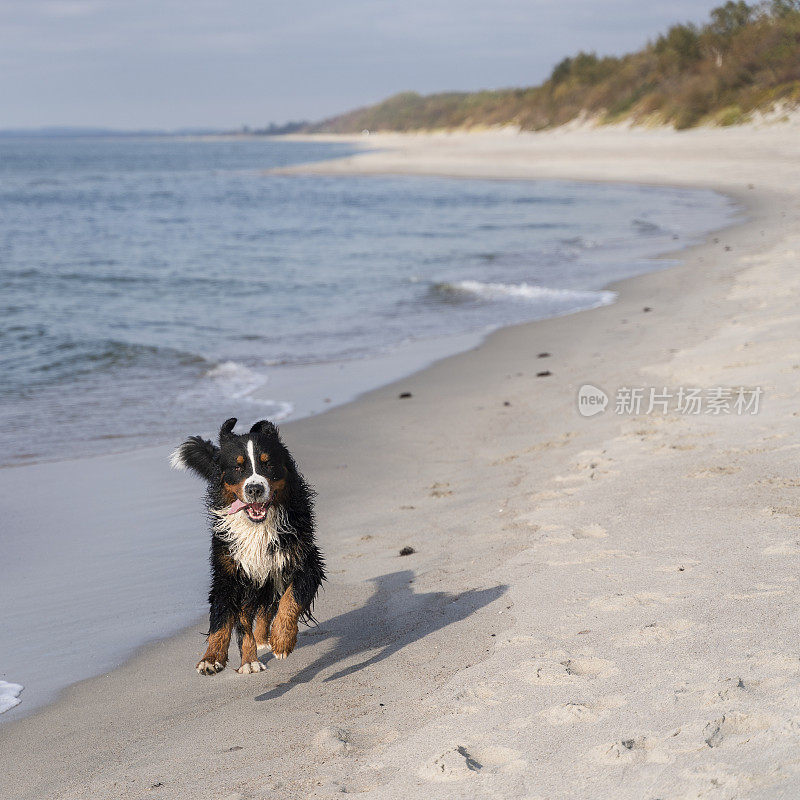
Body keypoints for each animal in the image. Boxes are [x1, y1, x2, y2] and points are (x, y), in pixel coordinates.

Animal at [170, 418, 324, 676]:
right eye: (238, 467)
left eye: (268, 464)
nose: (254, 489)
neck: (257, 527)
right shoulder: (229, 572)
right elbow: (223, 618)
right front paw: (213, 657)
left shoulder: (305, 563)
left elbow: (290, 599)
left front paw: (282, 639)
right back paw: (253, 653)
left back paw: (265, 639)